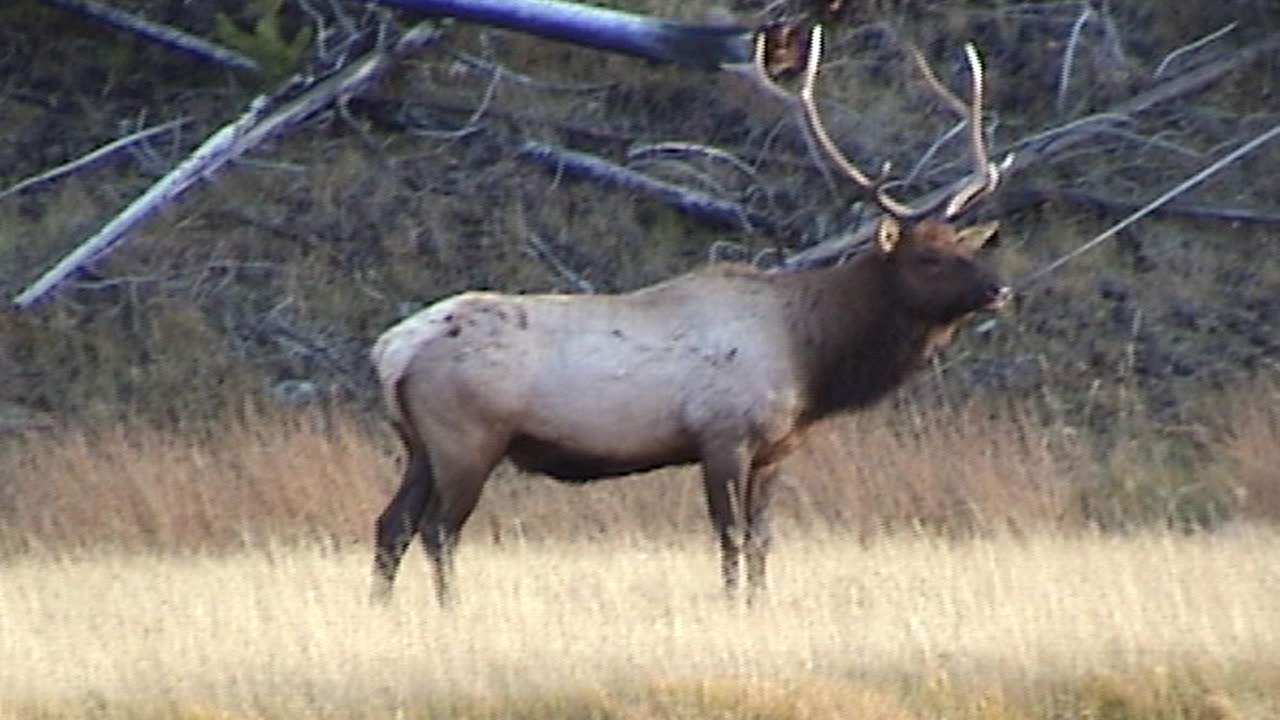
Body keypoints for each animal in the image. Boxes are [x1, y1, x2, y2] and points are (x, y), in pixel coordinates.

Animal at [368, 25, 1008, 602]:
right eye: (927, 257)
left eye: (968, 247)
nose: (1000, 290)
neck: (813, 359)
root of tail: (391, 350)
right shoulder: (723, 435)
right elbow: (731, 537)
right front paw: (733, 607)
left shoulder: (775, 451)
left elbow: (763, 540)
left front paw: (758, 605)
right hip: (467, 437)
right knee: (439, 530)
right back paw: (450, 610)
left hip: (420, 445)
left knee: (391, 525)